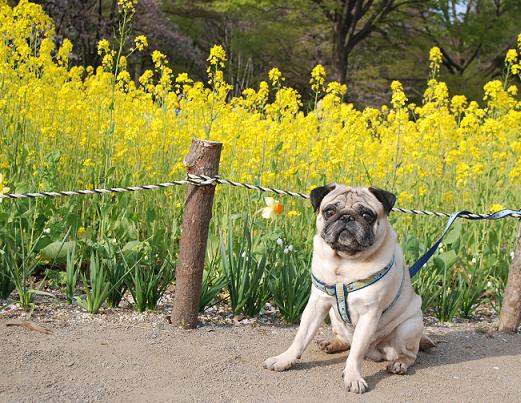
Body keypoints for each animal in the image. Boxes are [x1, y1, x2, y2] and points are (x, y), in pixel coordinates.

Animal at [262, 185, 432, 394]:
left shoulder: (369, 314)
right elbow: (301, 336)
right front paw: (285, 359)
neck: (344, 262)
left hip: (408, 327)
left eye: (367, 215)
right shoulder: (317, 303)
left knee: (408, 354)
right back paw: (331, 343)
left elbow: (356, 353)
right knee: (346, 341)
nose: (346, 217)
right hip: (334, 318)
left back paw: (399, 364)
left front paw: (353, 376)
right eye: (329, 211)